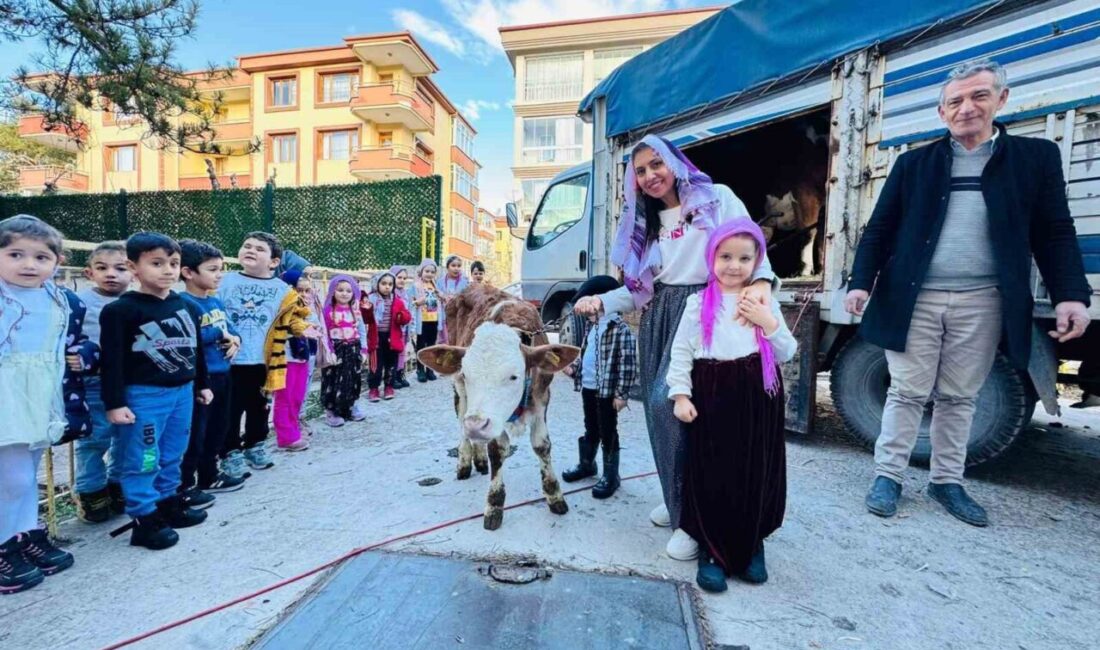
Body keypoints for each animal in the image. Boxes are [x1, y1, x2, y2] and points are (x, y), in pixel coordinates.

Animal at [415, 288, 580, 532]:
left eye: (513, 376)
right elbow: (497, 450)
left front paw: (554, 496)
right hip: (460, 392)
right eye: (467, 374)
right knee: (460, 416)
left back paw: (479, 458)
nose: (475, 425)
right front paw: (494, 505)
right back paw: (465, 461)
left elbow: (542, 445)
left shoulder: (542, 397)